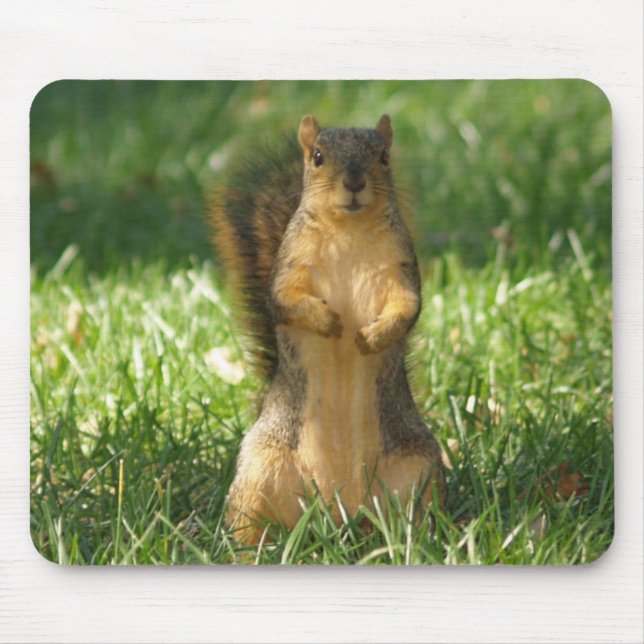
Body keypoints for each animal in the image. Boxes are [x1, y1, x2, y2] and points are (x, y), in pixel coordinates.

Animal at [211, 114, 446, 543]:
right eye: (318, 156)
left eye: (383, 156)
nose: (353, 182)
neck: (347, 230)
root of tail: (338, 511)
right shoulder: (290, 266)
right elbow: (284, 300)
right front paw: (328, 320)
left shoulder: (401, 268)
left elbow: (407, 308)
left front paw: (371, 337)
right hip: (259, 471)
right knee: (249, 523)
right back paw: (244, 550)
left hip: (418, 472)